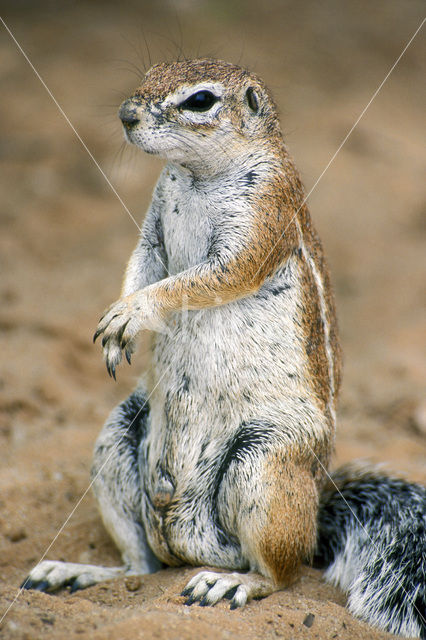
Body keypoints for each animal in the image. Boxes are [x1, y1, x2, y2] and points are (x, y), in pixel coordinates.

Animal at [24, 60, 426, 640]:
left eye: (200, 100)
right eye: (149, 73)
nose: (125, 115)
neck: (196, 174)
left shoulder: (262, 217)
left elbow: (205, 278)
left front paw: (133, 313)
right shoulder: (153, 227)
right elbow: (143, 260)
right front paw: (119, 321)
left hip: (264, 463)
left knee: (281, 573)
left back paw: (233, 583)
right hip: (117, 439)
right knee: (140, 566)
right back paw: (79, 572)